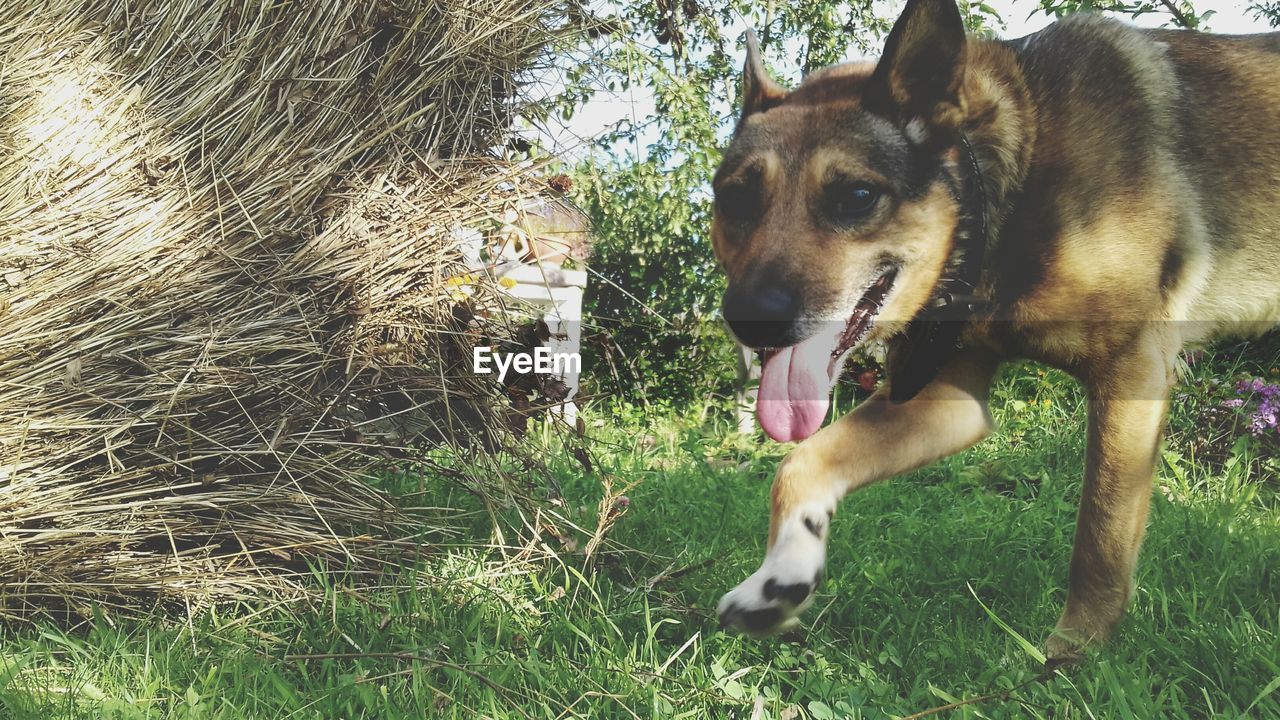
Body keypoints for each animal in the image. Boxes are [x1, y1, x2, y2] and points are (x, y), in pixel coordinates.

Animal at [711, 0, 1280, 666]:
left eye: (857, 196)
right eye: (735, 199)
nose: (750, 318)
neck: (1009, 177)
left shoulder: (1131, 371)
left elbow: (1099, 541)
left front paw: (1068, 659)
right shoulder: (948, 399)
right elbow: (801, 462)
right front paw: (778, 577)